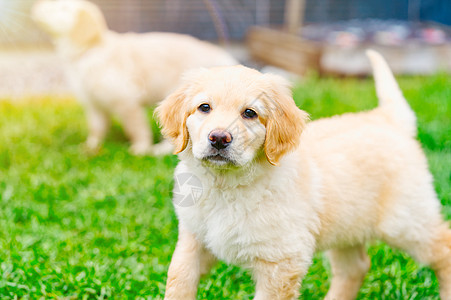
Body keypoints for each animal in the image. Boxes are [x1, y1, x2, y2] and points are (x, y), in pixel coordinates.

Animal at [31, 0, 237, 155]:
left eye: (62, 8)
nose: (37, 5)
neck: (89, 49)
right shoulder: (94, 104)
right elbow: (97, 127)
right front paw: (91, 146)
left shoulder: (125, 100)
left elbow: (136, 127)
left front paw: (140, 148)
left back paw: (159, 150)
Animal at [158, 50, 451, 298]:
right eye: (204, 107)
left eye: (250, 113)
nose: (219, 138)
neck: (226, 185)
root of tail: (387, 119)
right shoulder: (193, 239)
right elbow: (178, 280)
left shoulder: (281, 260)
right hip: (346, 225)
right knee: (355, 267)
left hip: (405, 221)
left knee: (443, 249)